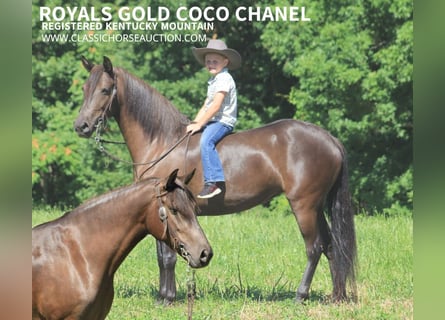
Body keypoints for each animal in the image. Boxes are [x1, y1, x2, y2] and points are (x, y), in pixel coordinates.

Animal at [74, 56, 356, 304]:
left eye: (105, 89)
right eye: (85, 88)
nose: (81, 127)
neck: (162, 141)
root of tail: (329, 138)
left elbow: (168, 257)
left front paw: (167, 298)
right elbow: (163, 255)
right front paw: (165, 295)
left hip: (304, 206)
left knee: (314, 247)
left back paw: (301, 295)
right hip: (317, 207)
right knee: (331, 246)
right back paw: (336, 296)